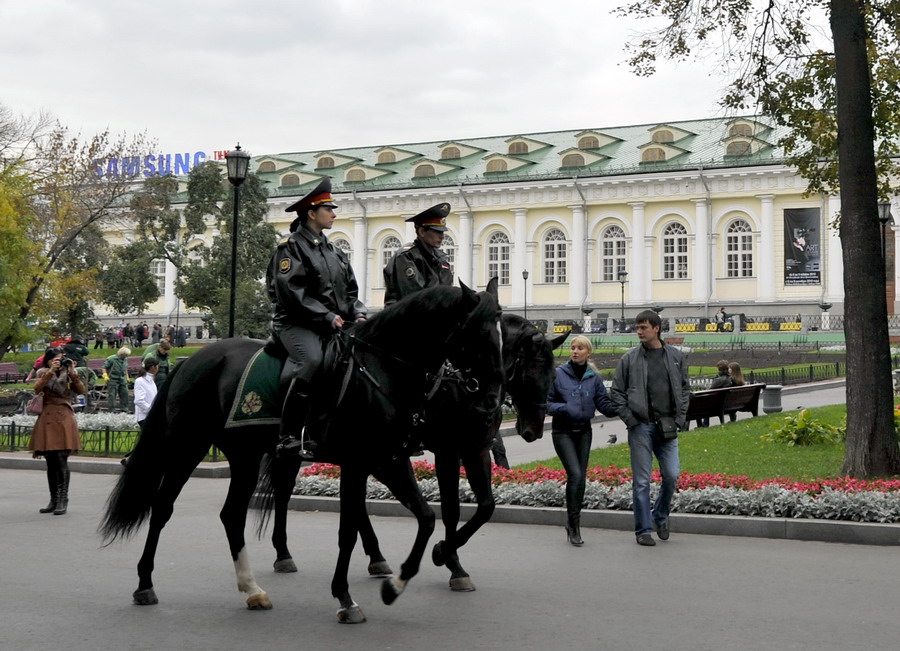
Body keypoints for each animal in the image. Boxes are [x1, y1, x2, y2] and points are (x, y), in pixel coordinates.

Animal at [102, 282, 506, 624]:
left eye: (502, 336)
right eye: (478, 333)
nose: (491, 401)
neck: (380, 370)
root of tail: (190, 360)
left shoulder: (389, 459)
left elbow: (425, 518)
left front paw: (398, 583)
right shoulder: (363, 462)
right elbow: (349, 530)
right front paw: (345, 598)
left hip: (245, 456)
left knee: (232, 514)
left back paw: (252, 590)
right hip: (187, 446)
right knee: (162, 507)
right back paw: (145, 584)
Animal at [268, 314, 568, 592]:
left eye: (553, 375)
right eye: (530, 372)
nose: (534, 430)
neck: (461, 382)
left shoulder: (476, 449)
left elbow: (485, 507)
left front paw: (447, 555)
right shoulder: (447, 451)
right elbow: (451, 509)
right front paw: (449, 559)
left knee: (354, 503)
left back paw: (376, 557)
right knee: (283, 492)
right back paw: (283, 553)